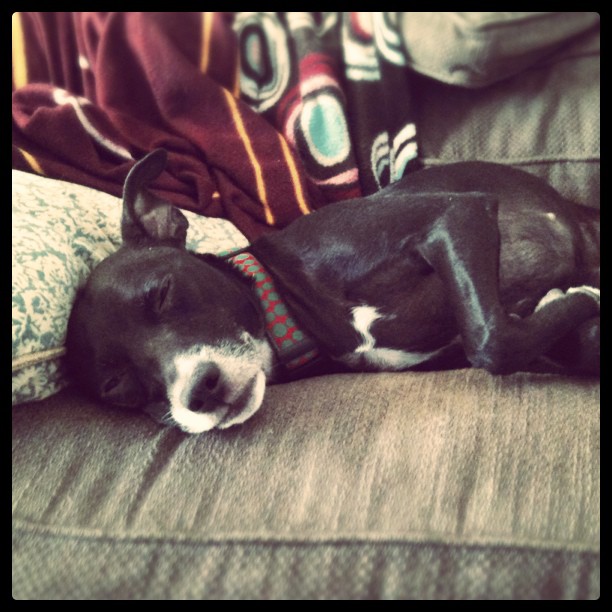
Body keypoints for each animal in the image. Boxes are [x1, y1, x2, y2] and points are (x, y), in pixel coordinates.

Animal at [65, 150, 596, 432]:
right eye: (118, 387)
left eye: (163, 293)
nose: (198, 391)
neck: (292, 302)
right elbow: (505, 340)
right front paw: (574, 305)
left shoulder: (458, 213)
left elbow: (491, 340)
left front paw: (578, 298)